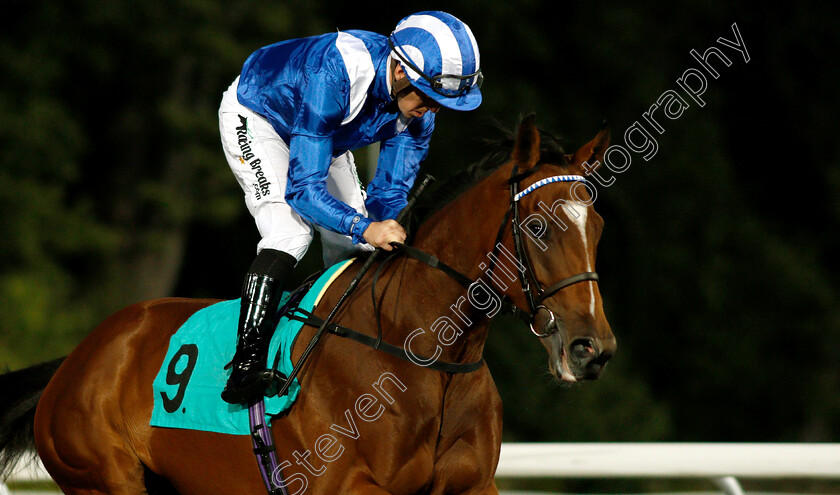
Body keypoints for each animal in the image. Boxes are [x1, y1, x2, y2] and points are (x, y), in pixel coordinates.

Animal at [1, 114, 616, 494]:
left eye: (598, 227)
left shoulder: (473, 483)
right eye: (537, 227)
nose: (592, 349)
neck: (425, 352)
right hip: (101, 476)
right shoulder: (345, 483)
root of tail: (76, 361)